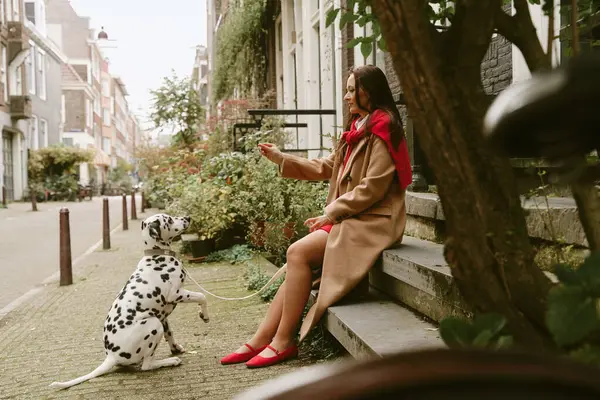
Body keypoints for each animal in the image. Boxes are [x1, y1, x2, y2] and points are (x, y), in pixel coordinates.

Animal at [51, 214, 211, 390]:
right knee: (147, 365)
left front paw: (175, 348)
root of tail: (111, 356)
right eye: (168, 220)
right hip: (154, 324)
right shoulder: (176, 294)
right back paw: (169, 361)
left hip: (157, 321)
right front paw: (204, 315)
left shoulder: (163, 316)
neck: (157, 256)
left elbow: (170, 334)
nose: (187, 217)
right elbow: (202, 296)